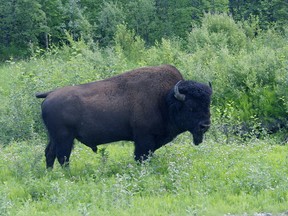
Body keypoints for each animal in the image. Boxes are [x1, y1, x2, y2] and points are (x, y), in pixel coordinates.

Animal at [35, 64, 212, 169]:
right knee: (62, 156)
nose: (205, 125)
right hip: (65, 137)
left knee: (50, 153)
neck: (164, 99)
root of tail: (50, 95)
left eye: (208, 104)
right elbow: (141, 156)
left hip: (55, 137)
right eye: (191, 107)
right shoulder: (144, 138)